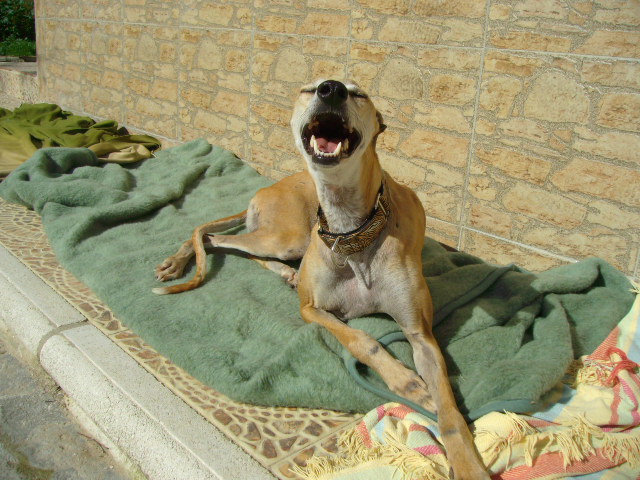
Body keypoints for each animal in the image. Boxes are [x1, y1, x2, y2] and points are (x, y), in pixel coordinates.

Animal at [153, 80, 488, 479]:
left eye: (359, 94)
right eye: (308, 88)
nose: (331, 89)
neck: (351, 232)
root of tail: (268, 188)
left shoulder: (421, 334)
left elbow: (449, 409)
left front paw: (467, 461)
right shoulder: (312, 309)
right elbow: (361, 340)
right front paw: (406, 381)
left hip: (286, 241)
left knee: (234, 246)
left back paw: (281, 272)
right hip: (288, 237)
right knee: (209, 236)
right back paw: (177, 262)